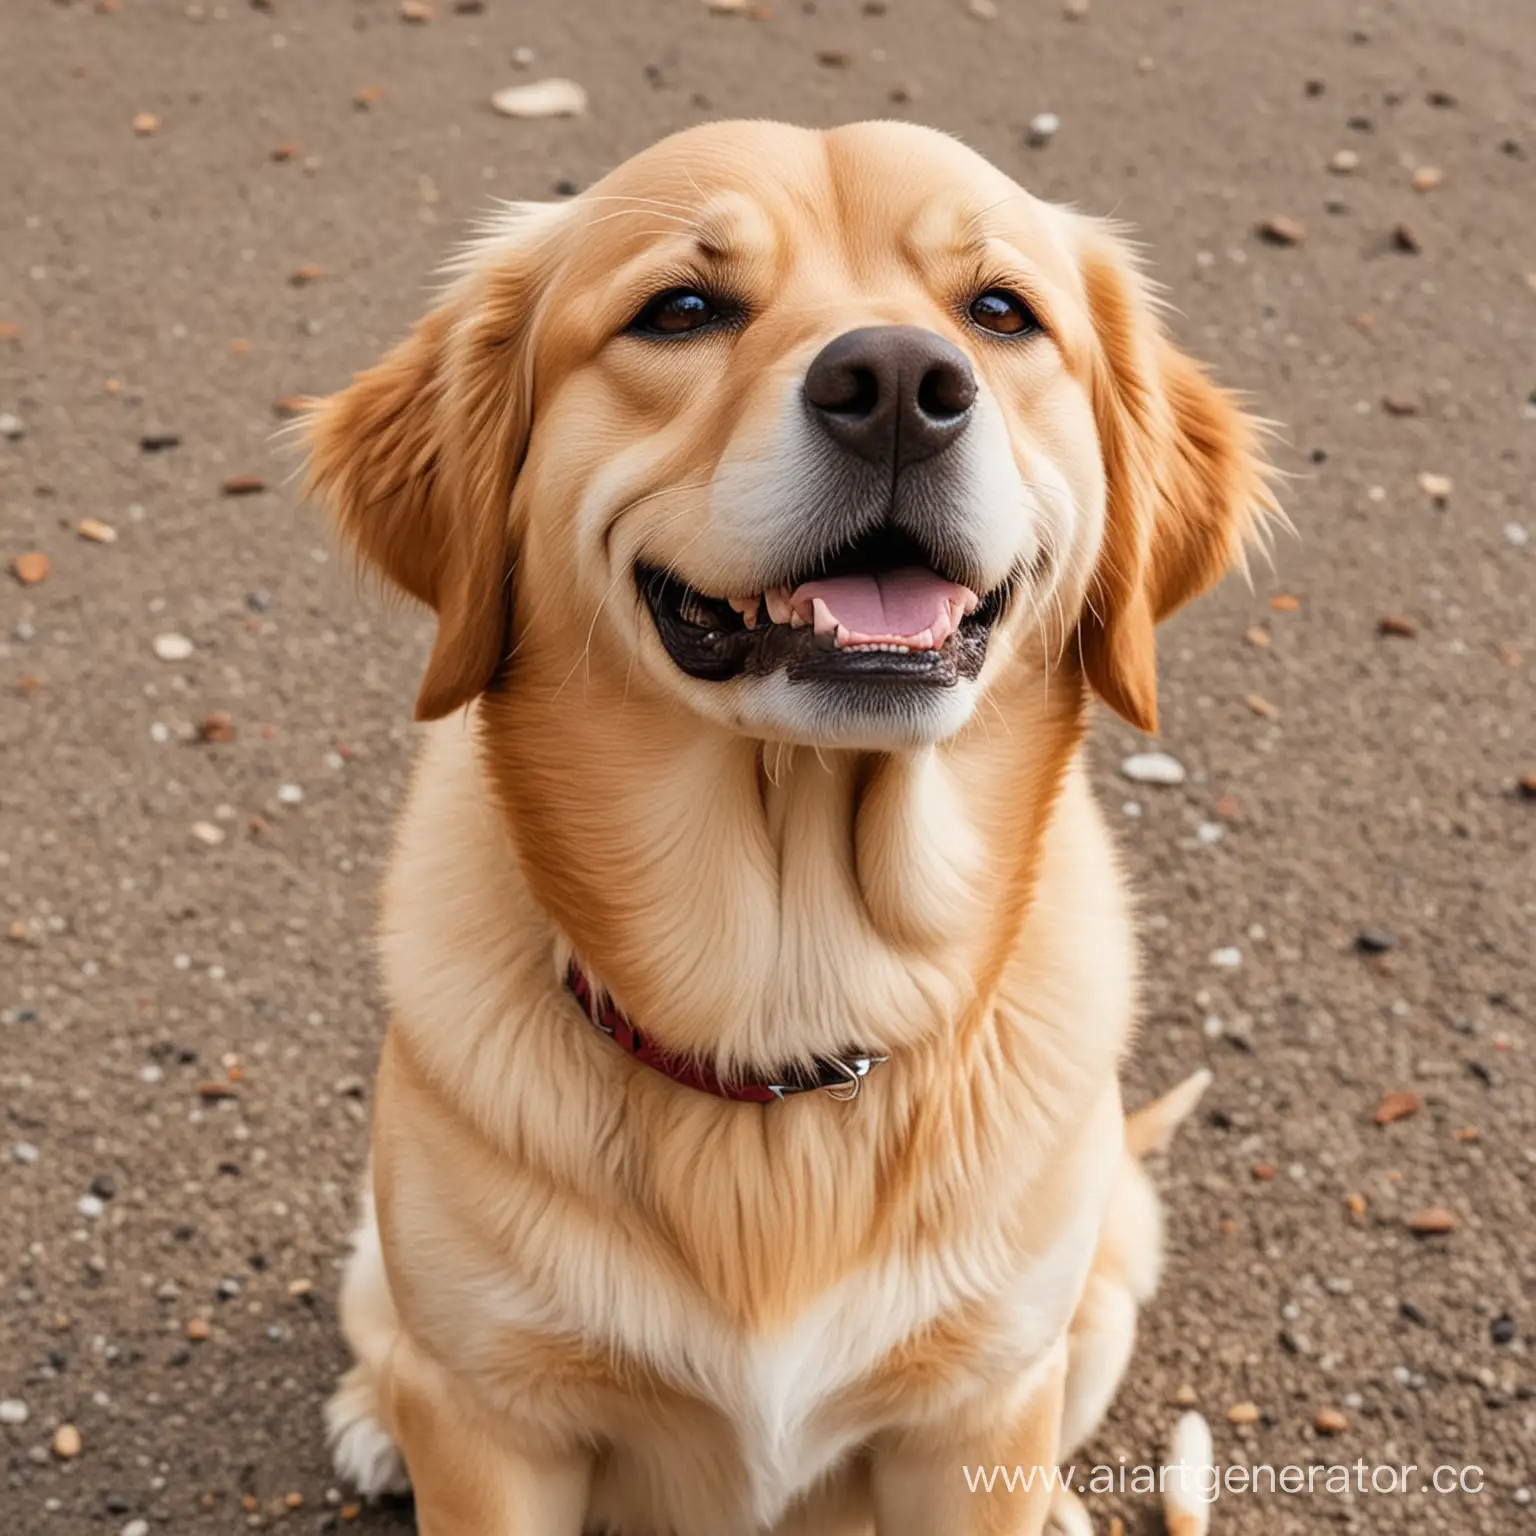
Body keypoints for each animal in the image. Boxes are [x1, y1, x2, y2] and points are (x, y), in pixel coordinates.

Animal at [302, 119, 1271, 1536]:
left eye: (999, 313)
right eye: (681, 309)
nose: (901, 384)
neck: (787, 1006)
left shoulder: (976, 1415)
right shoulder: (494, 1427)